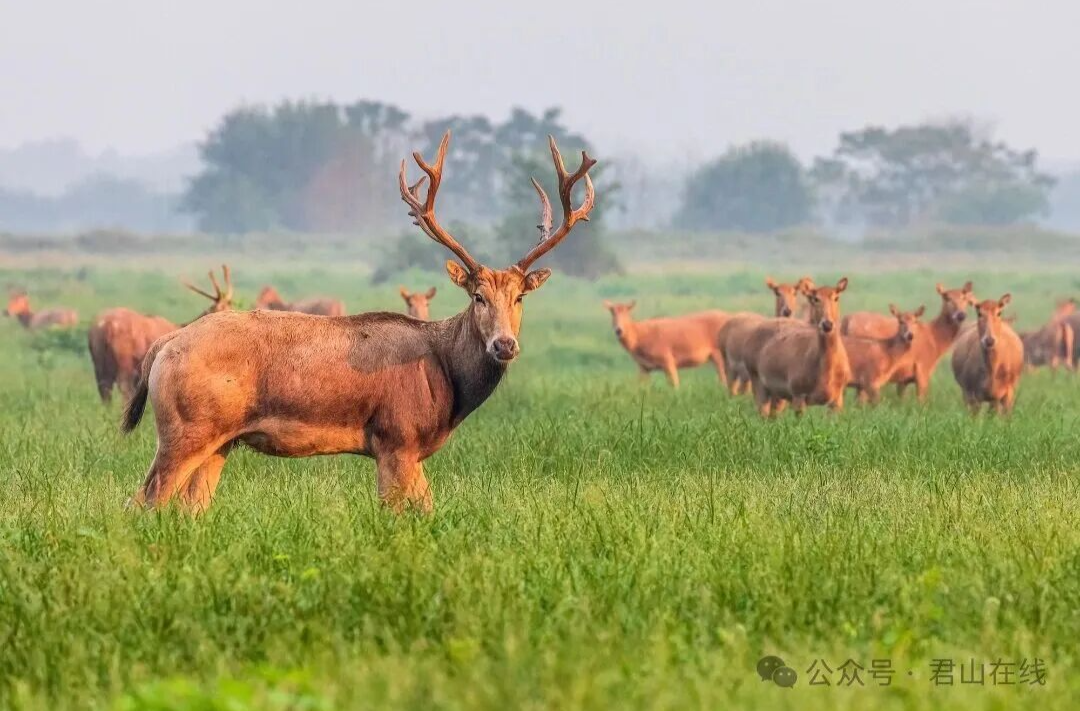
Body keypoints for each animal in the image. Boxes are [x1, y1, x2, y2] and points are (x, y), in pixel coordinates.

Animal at [87, 266, 234, 403]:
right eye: (220, 309)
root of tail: (107, 326)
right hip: (124, 361)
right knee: (124, 389)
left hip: (99, 362)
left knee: (104, 389)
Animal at [120, 132, 595, 514]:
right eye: (477, 296)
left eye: (520, 297)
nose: (504, 345)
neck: (447, 380)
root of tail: (162, 346)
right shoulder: (396, 437)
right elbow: (401, 512)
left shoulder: (406, 451)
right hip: (186, 428)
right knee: (143, 501)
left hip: (219, 441)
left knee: (188, 507)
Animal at [753, 278, 851, 417]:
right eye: (815, 298)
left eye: (836, 297)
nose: (827, 324)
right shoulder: (798, 394)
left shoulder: (837, 399)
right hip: (758, 381)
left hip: (777, 394)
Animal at [842, 282, 976, 401]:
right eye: (946, 297)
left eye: (964, 297)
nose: (961, 315)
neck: (935, 340)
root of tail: (846, 321)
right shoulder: (922, 369)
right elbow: (921, 402)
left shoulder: (903, 379)